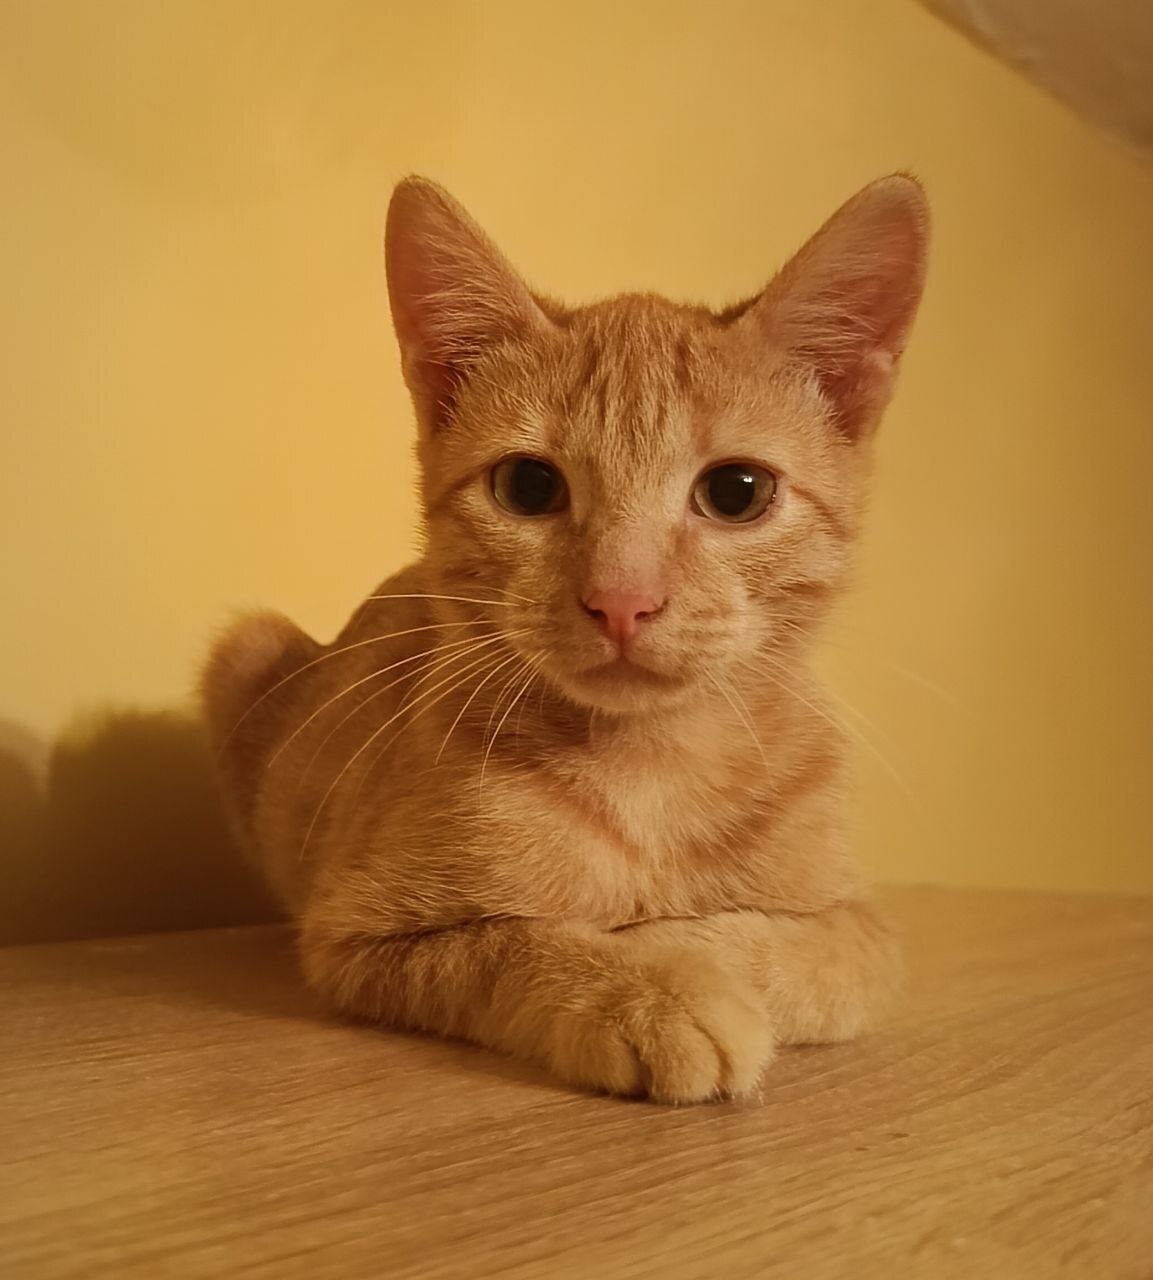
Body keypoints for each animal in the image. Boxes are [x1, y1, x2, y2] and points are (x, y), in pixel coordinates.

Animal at [201, 173, 928, 1103]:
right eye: (528, 486)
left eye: (737, 491)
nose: (621, 601)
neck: (653, 765)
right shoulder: (355, 936)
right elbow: (506, 941)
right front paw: (644, 988)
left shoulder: (863, 929)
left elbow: (816, 957)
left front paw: (678, 948)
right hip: (245, 650)